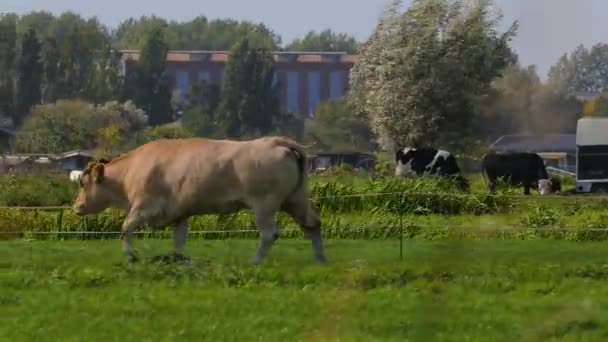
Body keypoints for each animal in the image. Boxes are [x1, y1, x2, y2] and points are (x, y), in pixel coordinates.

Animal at [72, 136, 328, 264]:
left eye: (83, 183)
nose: (76, 207)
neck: (130, 171)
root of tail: (277, 141)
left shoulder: (144, 207)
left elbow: (126, 228)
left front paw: (130, 256)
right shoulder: (179, 214)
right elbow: (179, 239)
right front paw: (178, 260)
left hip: (265, 205)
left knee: (269, 234)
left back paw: (254, 261)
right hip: (296, 200)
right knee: (313, 224)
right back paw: (320, 259)